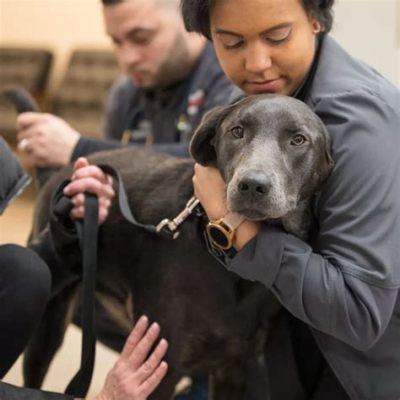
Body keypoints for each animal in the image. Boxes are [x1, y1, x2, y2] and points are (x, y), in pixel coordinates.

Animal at [25, 92, 334, 398]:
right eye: (237, 131)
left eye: (298, 140)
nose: (252, 185)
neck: (232, 263)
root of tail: (63, 169)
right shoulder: (157, 367)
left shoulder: (235, 367)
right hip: (49, 323)